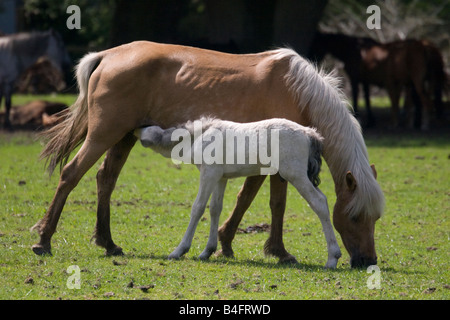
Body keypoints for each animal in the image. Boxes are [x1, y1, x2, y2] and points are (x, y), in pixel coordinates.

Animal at [134, 117, 342, 268]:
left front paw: (179, 251)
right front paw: (207, 251)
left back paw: (332, 258)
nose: (135, 129)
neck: (202, 135)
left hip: (295, 174)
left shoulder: (208, 174)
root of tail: (309, 133)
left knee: (319, 202)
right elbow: (215, 209)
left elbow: (198, 208)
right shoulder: (220, 177)